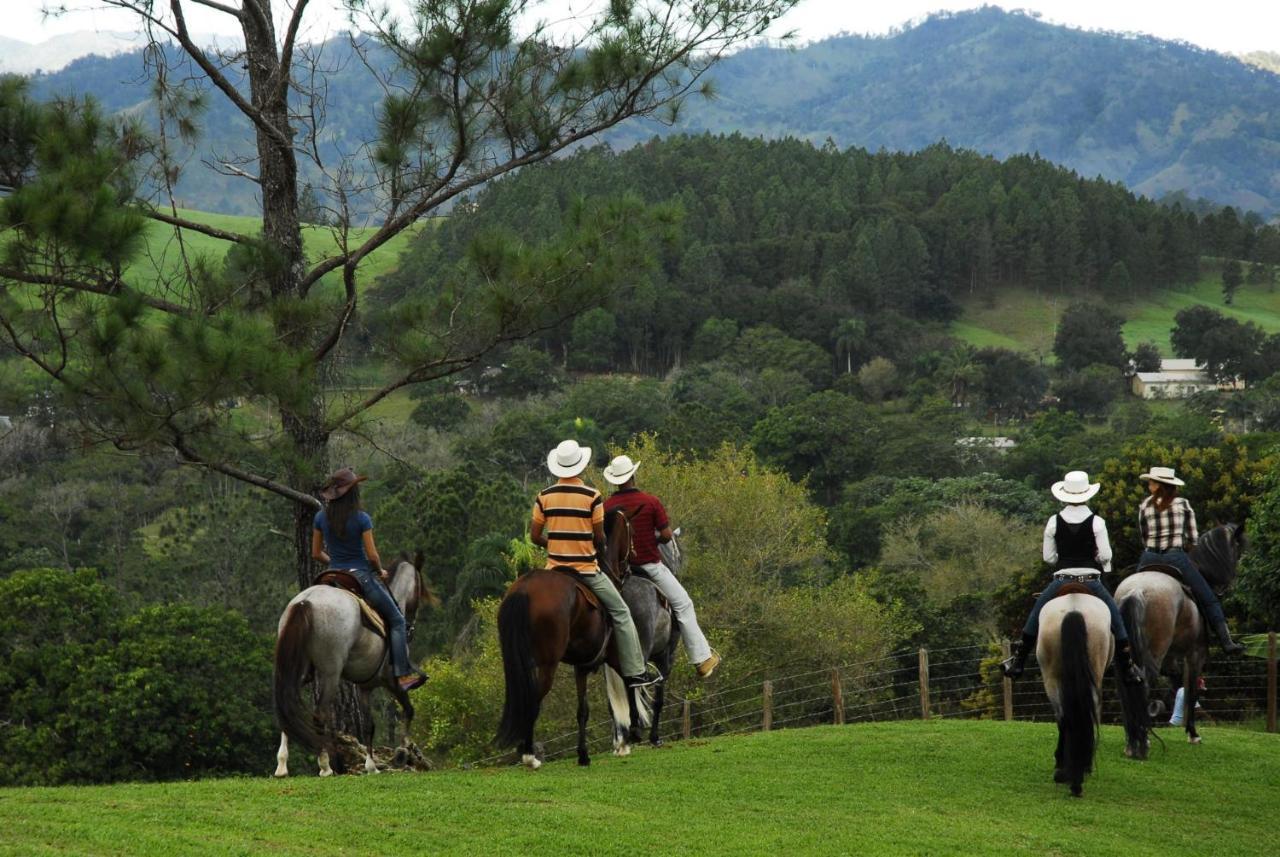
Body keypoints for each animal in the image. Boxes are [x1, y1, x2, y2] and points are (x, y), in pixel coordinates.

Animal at [271, 557, 427, 777]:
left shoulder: (364, 687)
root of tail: (306, 601)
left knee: (286, 705)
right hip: (330, 672)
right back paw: (325, 766)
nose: (410, 627)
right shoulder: (392, 681)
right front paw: (404, 749)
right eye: (420, 589)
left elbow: (369, 725)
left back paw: (282, 766)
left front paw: (371, 766)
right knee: (319, 714)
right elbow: (408, 709)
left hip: (298, 669)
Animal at [494, 511, 655, 772]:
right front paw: (634, 729)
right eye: (631, 531)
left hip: (520, 661)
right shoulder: (614, 654)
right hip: (548, 663)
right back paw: (529, 755)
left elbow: (583, 710)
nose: (630, 568)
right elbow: (629, 680)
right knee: (533, 700)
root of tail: (525, 589)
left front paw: (583, 754)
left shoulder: (581, 665)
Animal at [1116, 524, 1244, 757]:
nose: (1229, 583)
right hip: (1155, 653)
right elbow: (1191, 690)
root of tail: (1135, 590)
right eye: (1237, 548)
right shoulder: (1195, 654)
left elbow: (1177, 683)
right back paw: (1142, 740)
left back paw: (1132, 739)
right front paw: (1193, 733)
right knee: (1144, 684)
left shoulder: (1171, 658)